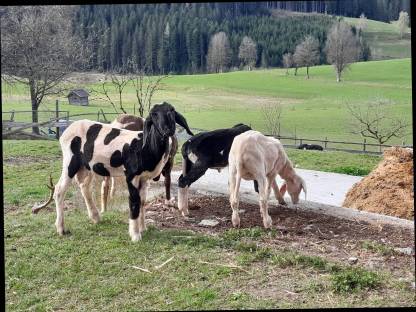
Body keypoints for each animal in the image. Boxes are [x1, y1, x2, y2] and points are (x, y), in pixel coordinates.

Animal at [35, 102, 193, 241]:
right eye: (153, 114)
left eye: (172, 111)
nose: (168, 130)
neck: (146, 147)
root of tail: (67, 130)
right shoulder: (131, 175)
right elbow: (134, 202)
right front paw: (135, 235)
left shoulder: (144, 178)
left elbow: (142, 202)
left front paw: (143, 228)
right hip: (70, 162)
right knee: (59, 190)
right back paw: (61, 228)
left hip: (85, 166)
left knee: (84, 186)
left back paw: (95, 217)